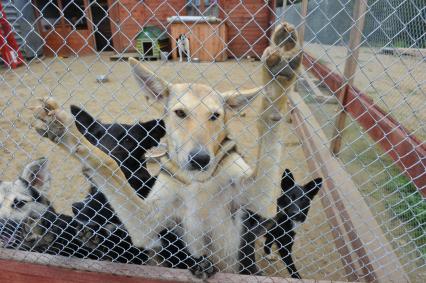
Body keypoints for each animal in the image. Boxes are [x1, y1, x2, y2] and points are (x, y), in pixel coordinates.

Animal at [31, 22, 302, 280]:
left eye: (215, 116)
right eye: (180, 113)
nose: (200, 159)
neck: (197, 180)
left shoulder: (259, 200)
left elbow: (270, 118)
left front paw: (279, 75)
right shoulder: (146, 223)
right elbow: (108, 166)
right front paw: (66, 131)